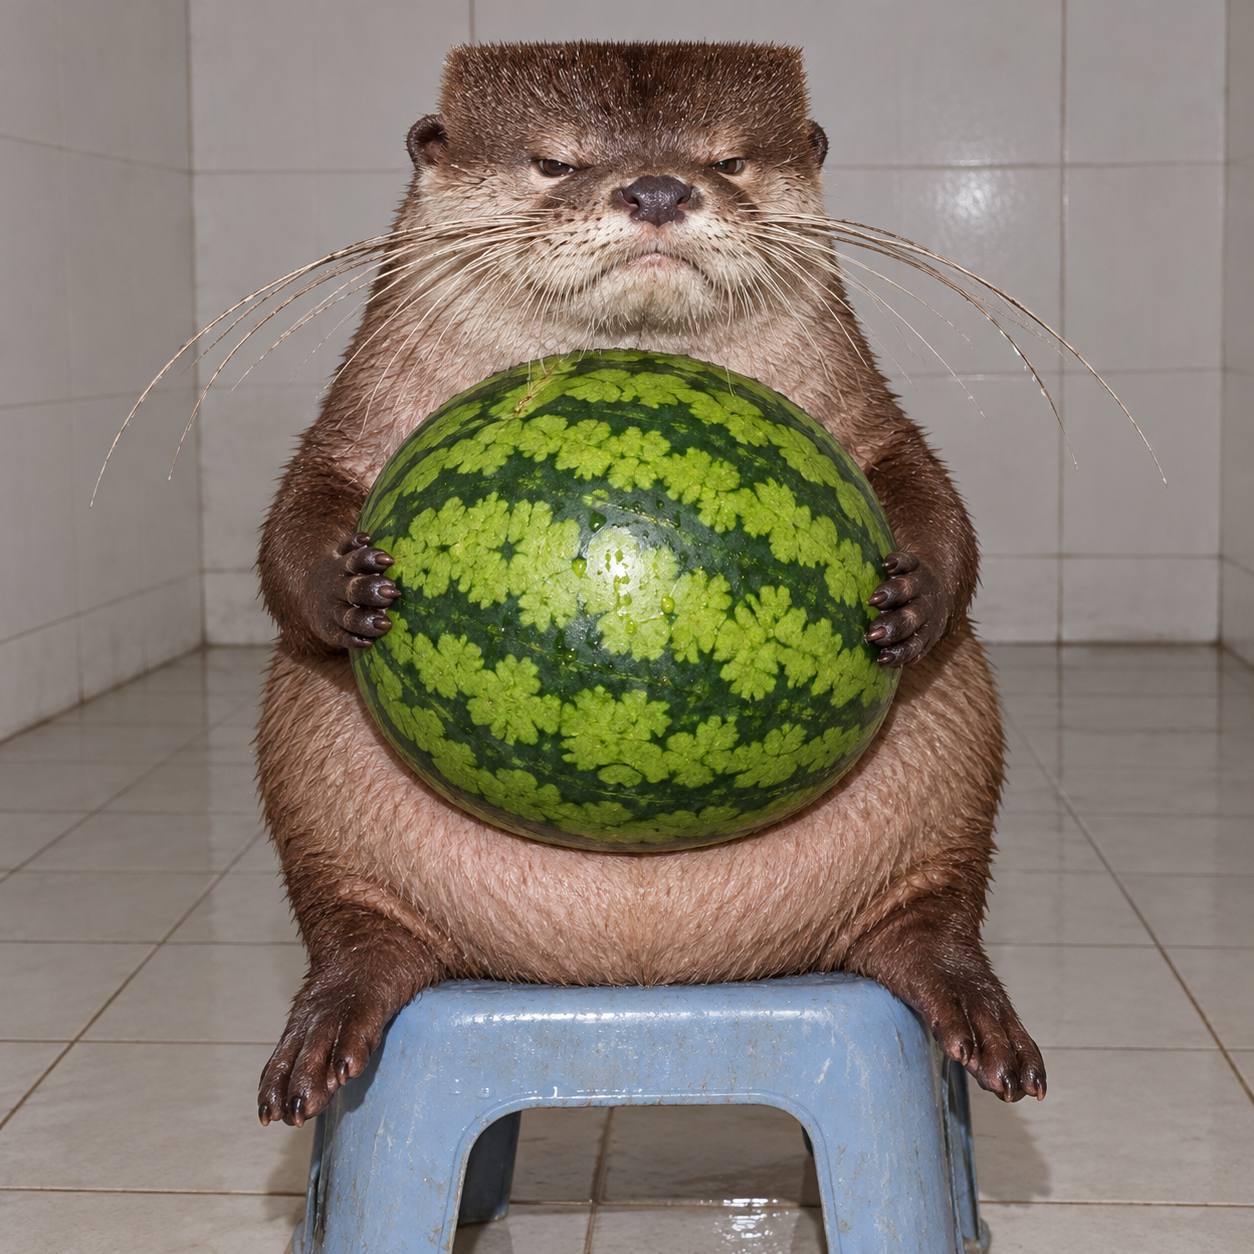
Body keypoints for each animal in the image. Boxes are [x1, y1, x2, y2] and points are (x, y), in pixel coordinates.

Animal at [253, 39, 1045, 1129]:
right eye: (556, 162)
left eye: (730, 159)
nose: (660, 187)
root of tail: (640, 974)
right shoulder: (356, 410)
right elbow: (297, 510)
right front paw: (343, 590)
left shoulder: (865, 406)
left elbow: (920, 479)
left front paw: (916, 595)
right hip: (308, 773)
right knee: (350, 917)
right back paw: (325, 1029)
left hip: (956, 758)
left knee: (935, 907)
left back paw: (977, 1014)